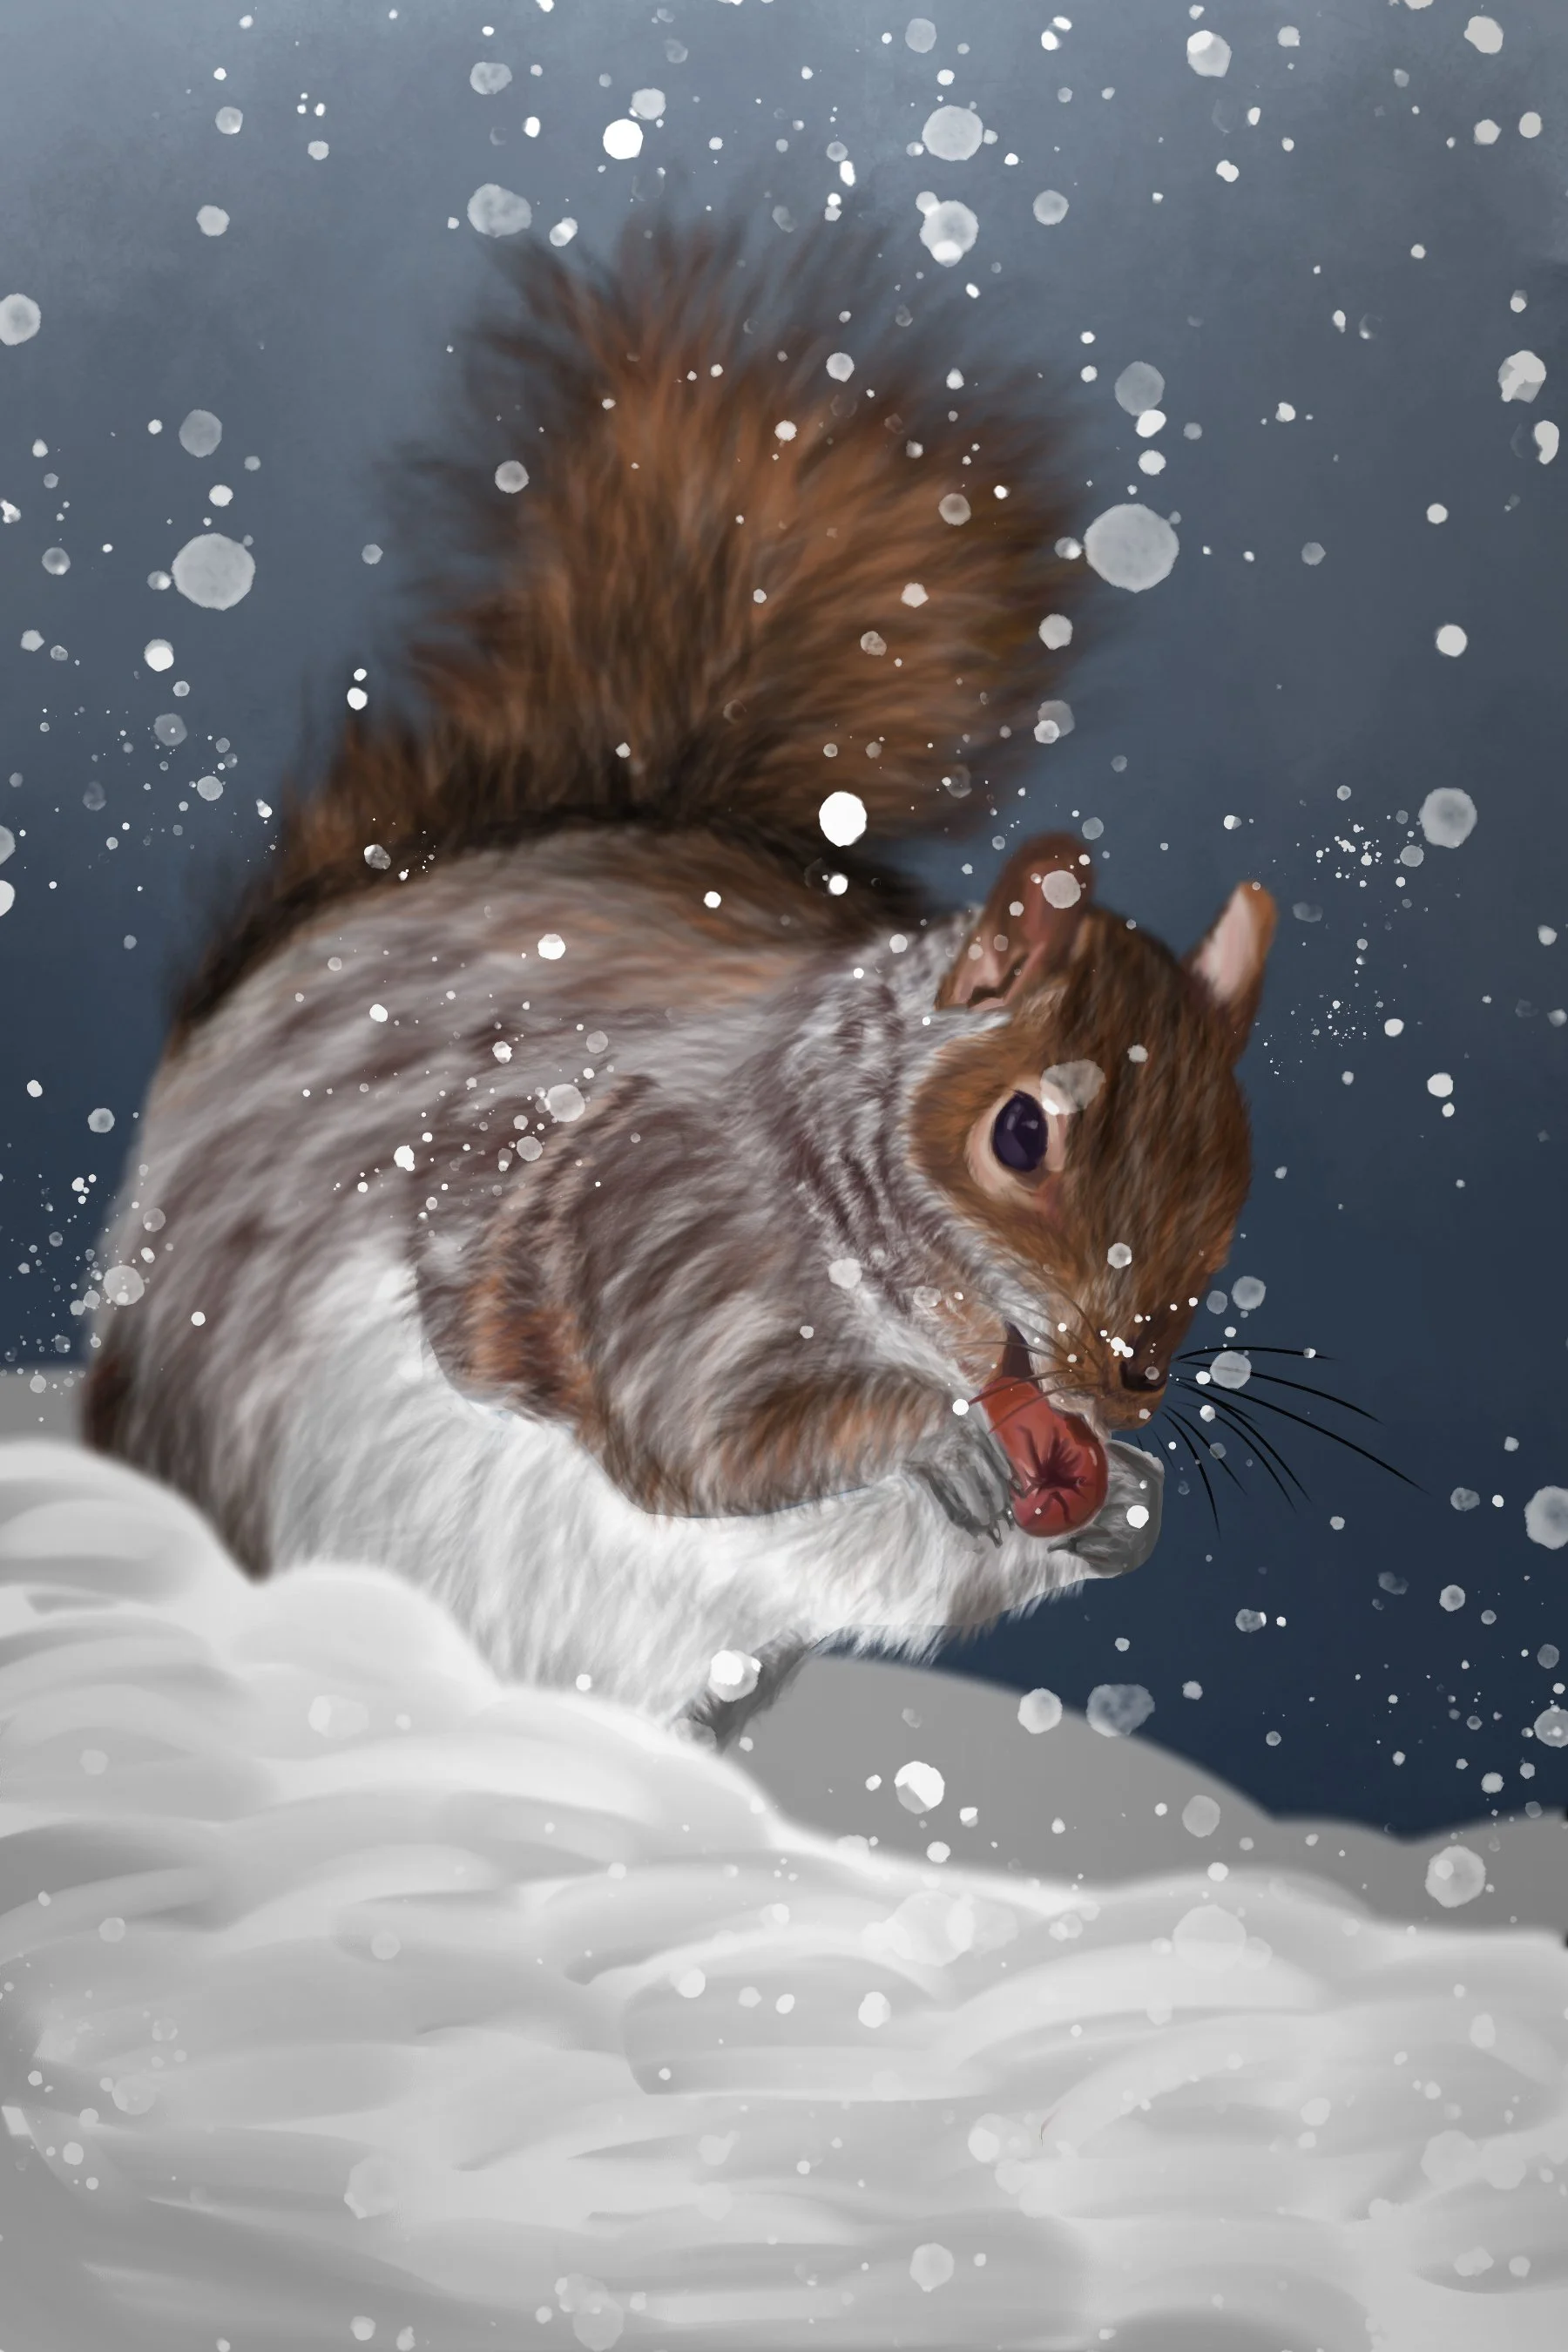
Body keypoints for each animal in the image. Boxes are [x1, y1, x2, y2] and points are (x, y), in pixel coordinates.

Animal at [85, 224, 1275, 1745]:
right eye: (1022, 1133)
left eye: (1238, 1169)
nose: (1128, 1387)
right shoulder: (657, 1219)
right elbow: (699, 1433)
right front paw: (943, 1436)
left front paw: (1126, 1503)